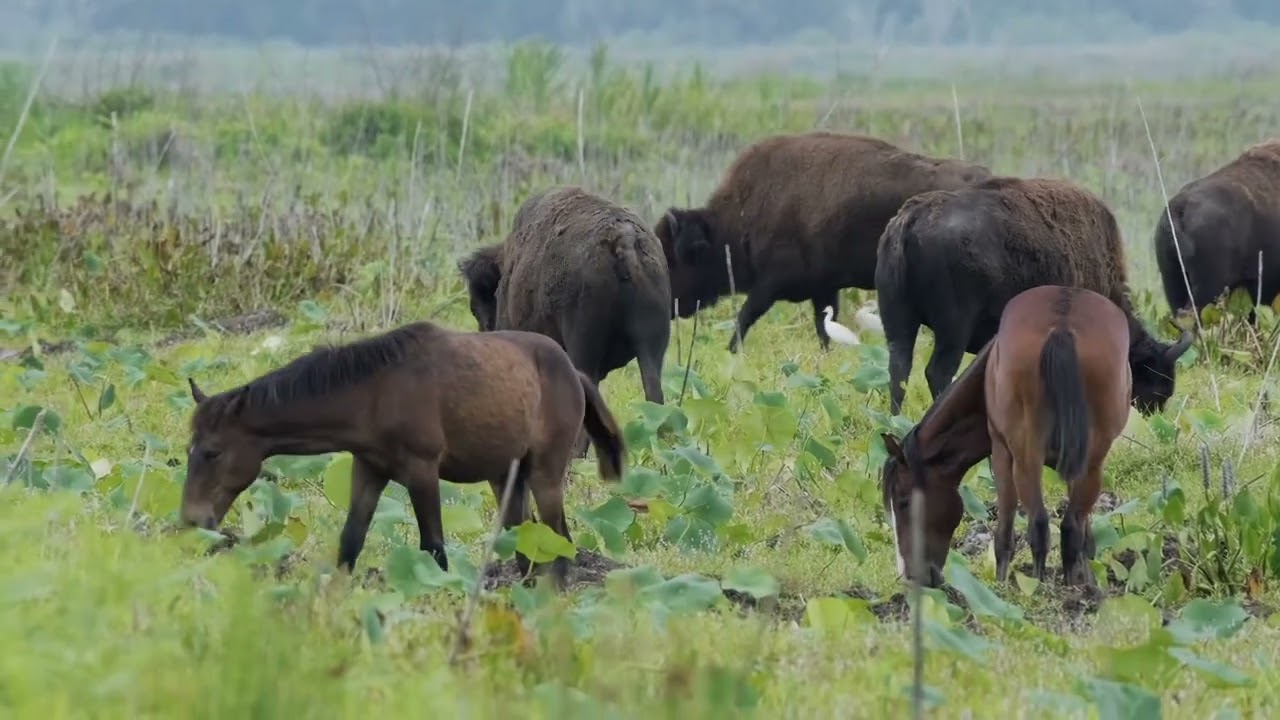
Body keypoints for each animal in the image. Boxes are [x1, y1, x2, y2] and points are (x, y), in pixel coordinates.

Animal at [654, 131, 992, 352]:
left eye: (672, 259)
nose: (664, 307)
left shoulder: (771, 283)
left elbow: (745, 315)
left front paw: (731, 351)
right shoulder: (824, 289)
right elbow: (823, 326)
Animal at [876, 175, 1195, 417]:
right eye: (1156, 382)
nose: (1151, 416)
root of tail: (910, 218)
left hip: (898, 323)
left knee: (898, 369)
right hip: (953, 330)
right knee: (937, 373)